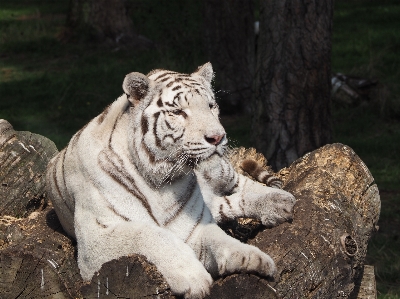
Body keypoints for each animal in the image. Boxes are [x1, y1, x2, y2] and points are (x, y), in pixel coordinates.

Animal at [47, 62, 296, 298]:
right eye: (178, 112)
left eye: (211, 106)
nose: (218, 137)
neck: (159, 181)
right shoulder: (96, 238)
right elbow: (150, 235)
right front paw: (194, 277)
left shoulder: (194, 227)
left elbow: (221, 240)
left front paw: (255, 258)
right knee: (227, 203)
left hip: (220, 171)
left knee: (241, 183)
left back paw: (281, 200)